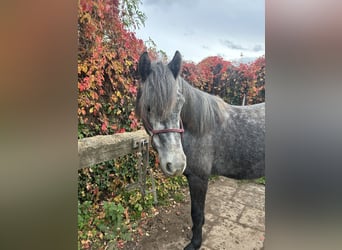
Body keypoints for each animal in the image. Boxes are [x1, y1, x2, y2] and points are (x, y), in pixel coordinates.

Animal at [135, 49, 266, 249]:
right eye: (148, 107)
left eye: (180, 103)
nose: (176, 163)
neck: (197, 129)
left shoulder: (199, 178)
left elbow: (196, 214)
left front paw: (195, 243)